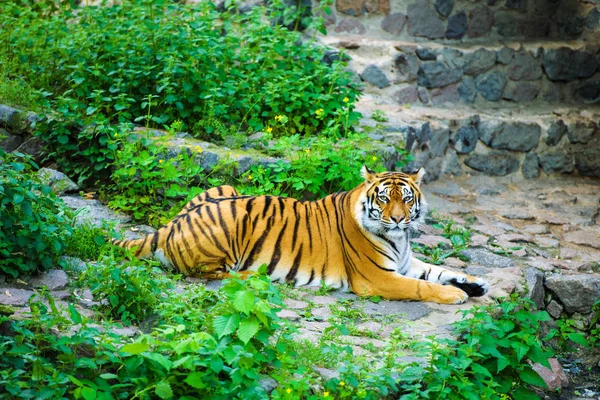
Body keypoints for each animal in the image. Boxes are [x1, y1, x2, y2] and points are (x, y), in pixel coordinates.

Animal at [112, 167, 488, 304]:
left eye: (407, 199)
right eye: (384, 198)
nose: (398, 219)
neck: (400, 239)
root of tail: (167, 227)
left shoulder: (407, 262)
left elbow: (438, 270)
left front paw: (475, 283)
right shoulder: (378, 279)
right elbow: (421, 286)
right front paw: (456, 295)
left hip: (224, 189)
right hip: (228, 227)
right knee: (205, 273)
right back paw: (253, 275)